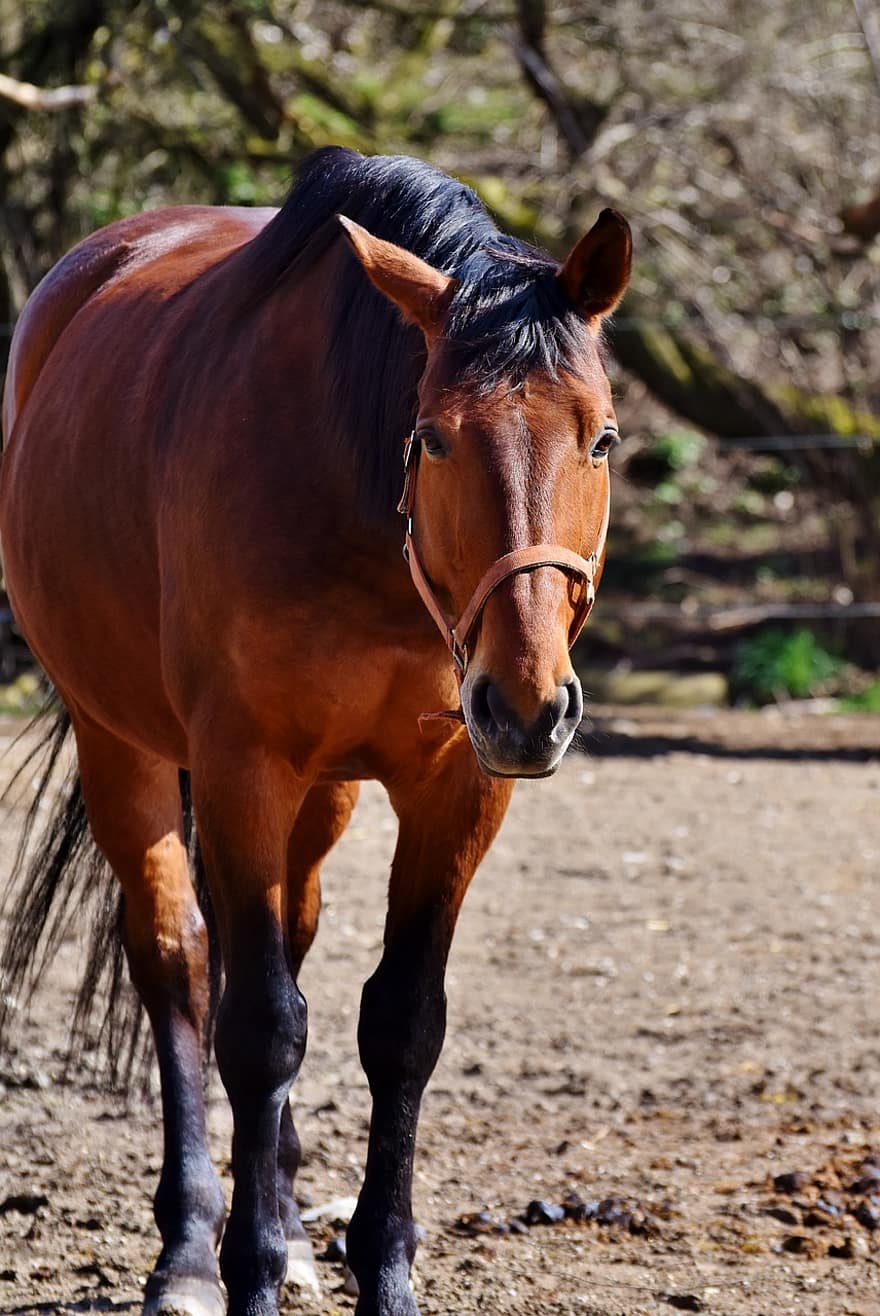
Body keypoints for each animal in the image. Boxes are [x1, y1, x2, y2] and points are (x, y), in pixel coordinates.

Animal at [1, 144, 631, 1316]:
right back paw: (192, 1248)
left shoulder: (457, 787)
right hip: (125, 747)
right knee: (179, 962)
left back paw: (290, 1227)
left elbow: (402, 1024)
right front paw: (241, 1268)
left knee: (283, 940)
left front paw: (379, 1271)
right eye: (433, 437)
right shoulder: (243, 767)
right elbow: (259, 1025)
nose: (528, 702)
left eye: (602, 437)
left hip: (326, 792)